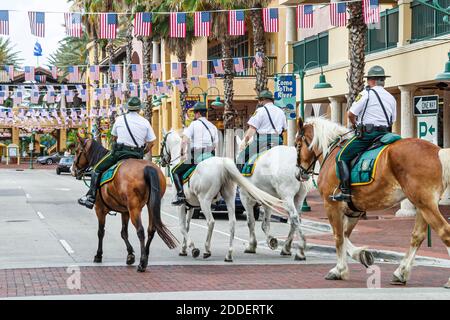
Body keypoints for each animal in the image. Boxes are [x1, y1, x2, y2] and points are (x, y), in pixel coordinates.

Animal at [71, 136, 178, 272]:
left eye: (77, 151)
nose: (73, 169)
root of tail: (147, 168)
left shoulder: (100, 209)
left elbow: (101, 232)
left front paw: (98, 255)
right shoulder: (125, 211)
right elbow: (123, 233)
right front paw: (130, 255)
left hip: (134, 208)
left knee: (140, 231)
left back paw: (142, 262)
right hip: (150, 205)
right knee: (151, 229)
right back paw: (145, 254)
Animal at [159, 130, 284, 262]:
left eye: (162, 143)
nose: (161, 160)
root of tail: (222, 164)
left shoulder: (181, 206)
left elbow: (182, 227)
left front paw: (192, 248)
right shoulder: (191, 206)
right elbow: (187, 226)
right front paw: (183, 249)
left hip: (205, 201)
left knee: (211, 222)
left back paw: (207, 250)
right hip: (229, 199)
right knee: (232, 223)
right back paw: (229, 254)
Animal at [296, 117, 450, 288]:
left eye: (297, 144)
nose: (299, 173)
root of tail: (437, 152)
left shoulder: (332, 205)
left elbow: (338, 236)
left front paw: (339, 270)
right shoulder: (354, 210)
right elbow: (345, 234)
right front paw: (361, 254)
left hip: (426, 205)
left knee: (444, 231)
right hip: (422, 205)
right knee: (417, 236)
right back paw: (400, 272)